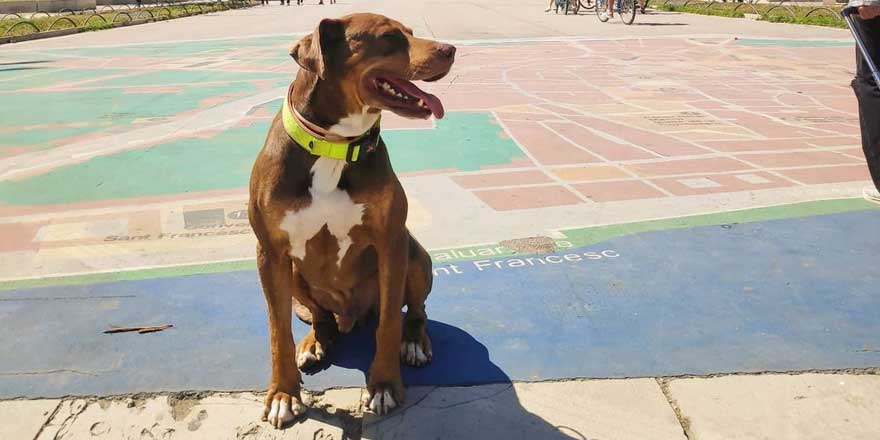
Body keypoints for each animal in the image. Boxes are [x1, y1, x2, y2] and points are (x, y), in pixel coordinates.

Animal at [248, 12, 454, 426]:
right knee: (321, 318)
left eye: (410, 33)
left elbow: (390, 321)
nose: (450, 49)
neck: (334, 145)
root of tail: (351, 316)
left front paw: (385, 385)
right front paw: (283, 394)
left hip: (415, 255)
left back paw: (414, 341)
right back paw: (314, 342)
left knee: (415, 310)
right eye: (389, 37)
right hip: (294, 273)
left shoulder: (391, 241)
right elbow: (278, 331)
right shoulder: (270, 253)